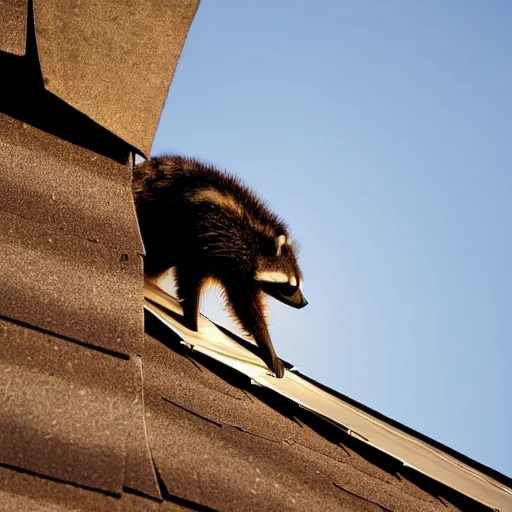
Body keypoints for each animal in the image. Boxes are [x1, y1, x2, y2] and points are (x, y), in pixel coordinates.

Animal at [133, 154, 308, 378]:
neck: (259, 242)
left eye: (297, 285)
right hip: (169, 222)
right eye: (289, 287)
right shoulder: (224, 246)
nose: (304, 302)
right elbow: (245, 308)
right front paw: (267, 347)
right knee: (162, 255)